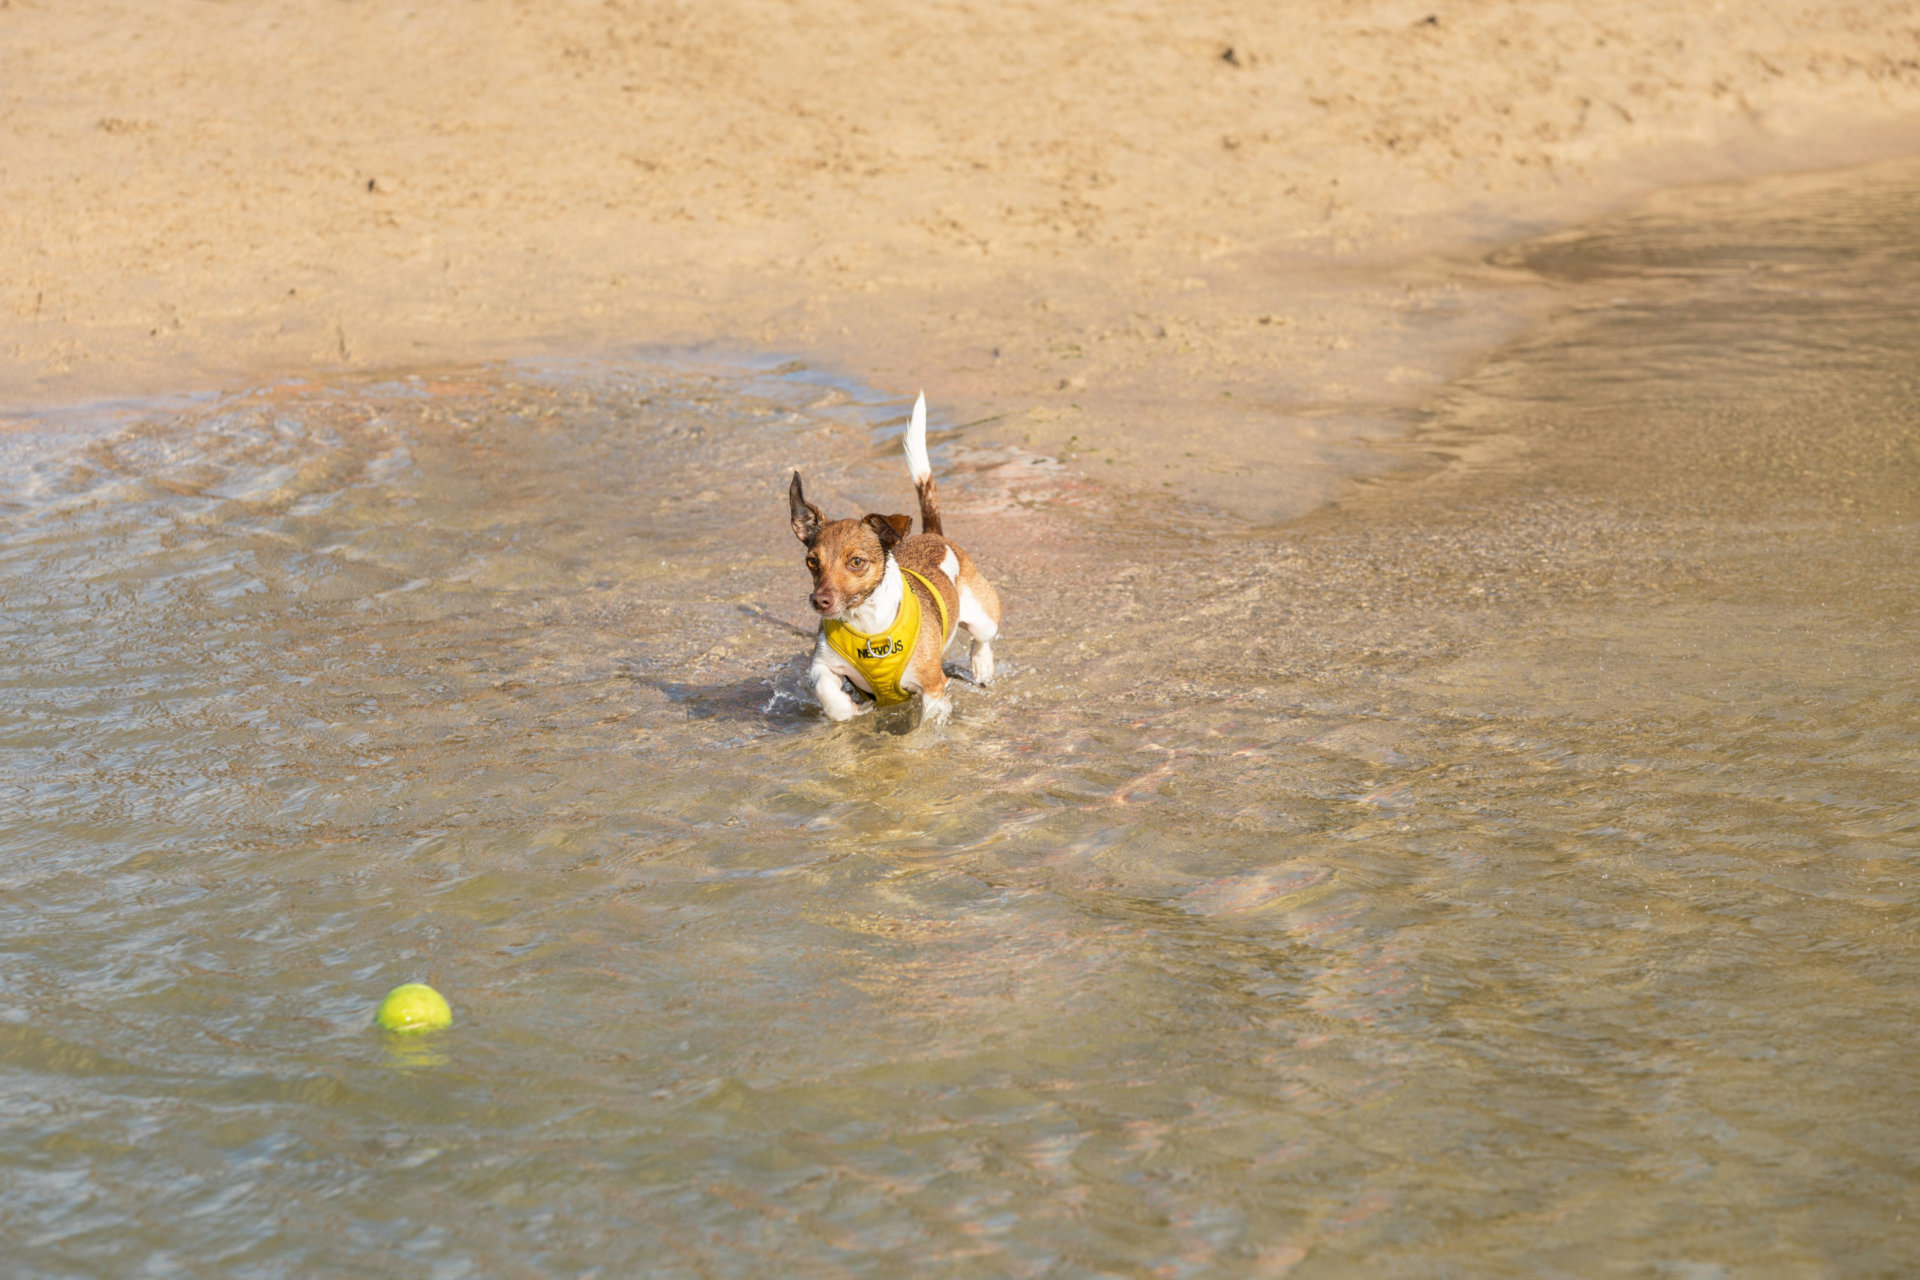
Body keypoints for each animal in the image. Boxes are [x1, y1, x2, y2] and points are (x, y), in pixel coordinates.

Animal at [787, 393, 1006, 721]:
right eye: (812, 562)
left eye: (856, 562)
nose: (819, 601)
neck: (867, 625)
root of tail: (934, 534)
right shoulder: (823, 666)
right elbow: (829, 693)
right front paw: (848, 711)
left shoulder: (932, 687)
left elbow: (927, 725)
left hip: (982, 615)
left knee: (982, 639)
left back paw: (982, 666)